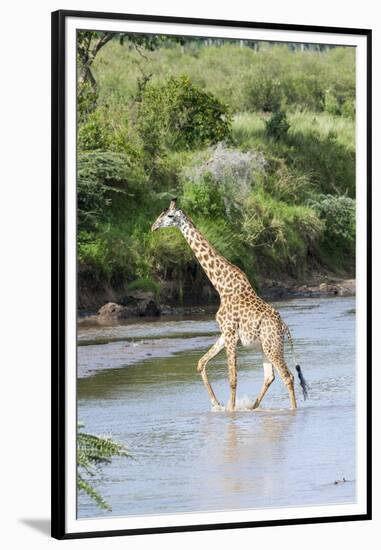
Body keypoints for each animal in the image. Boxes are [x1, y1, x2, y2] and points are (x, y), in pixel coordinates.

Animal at [150, 201, 308, 412]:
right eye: (161, 214)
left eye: (169, 216)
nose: (154, 227)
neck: (221, 285)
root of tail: (284, 328)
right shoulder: (226, 332)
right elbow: (201, 363)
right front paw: (217, 404)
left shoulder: (231, 334)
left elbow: (232, 378)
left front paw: (231, 411)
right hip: (264, 347)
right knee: (270, 376)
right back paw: (253, 407)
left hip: (272, 346)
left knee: (288, 377)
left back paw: (292, 410)